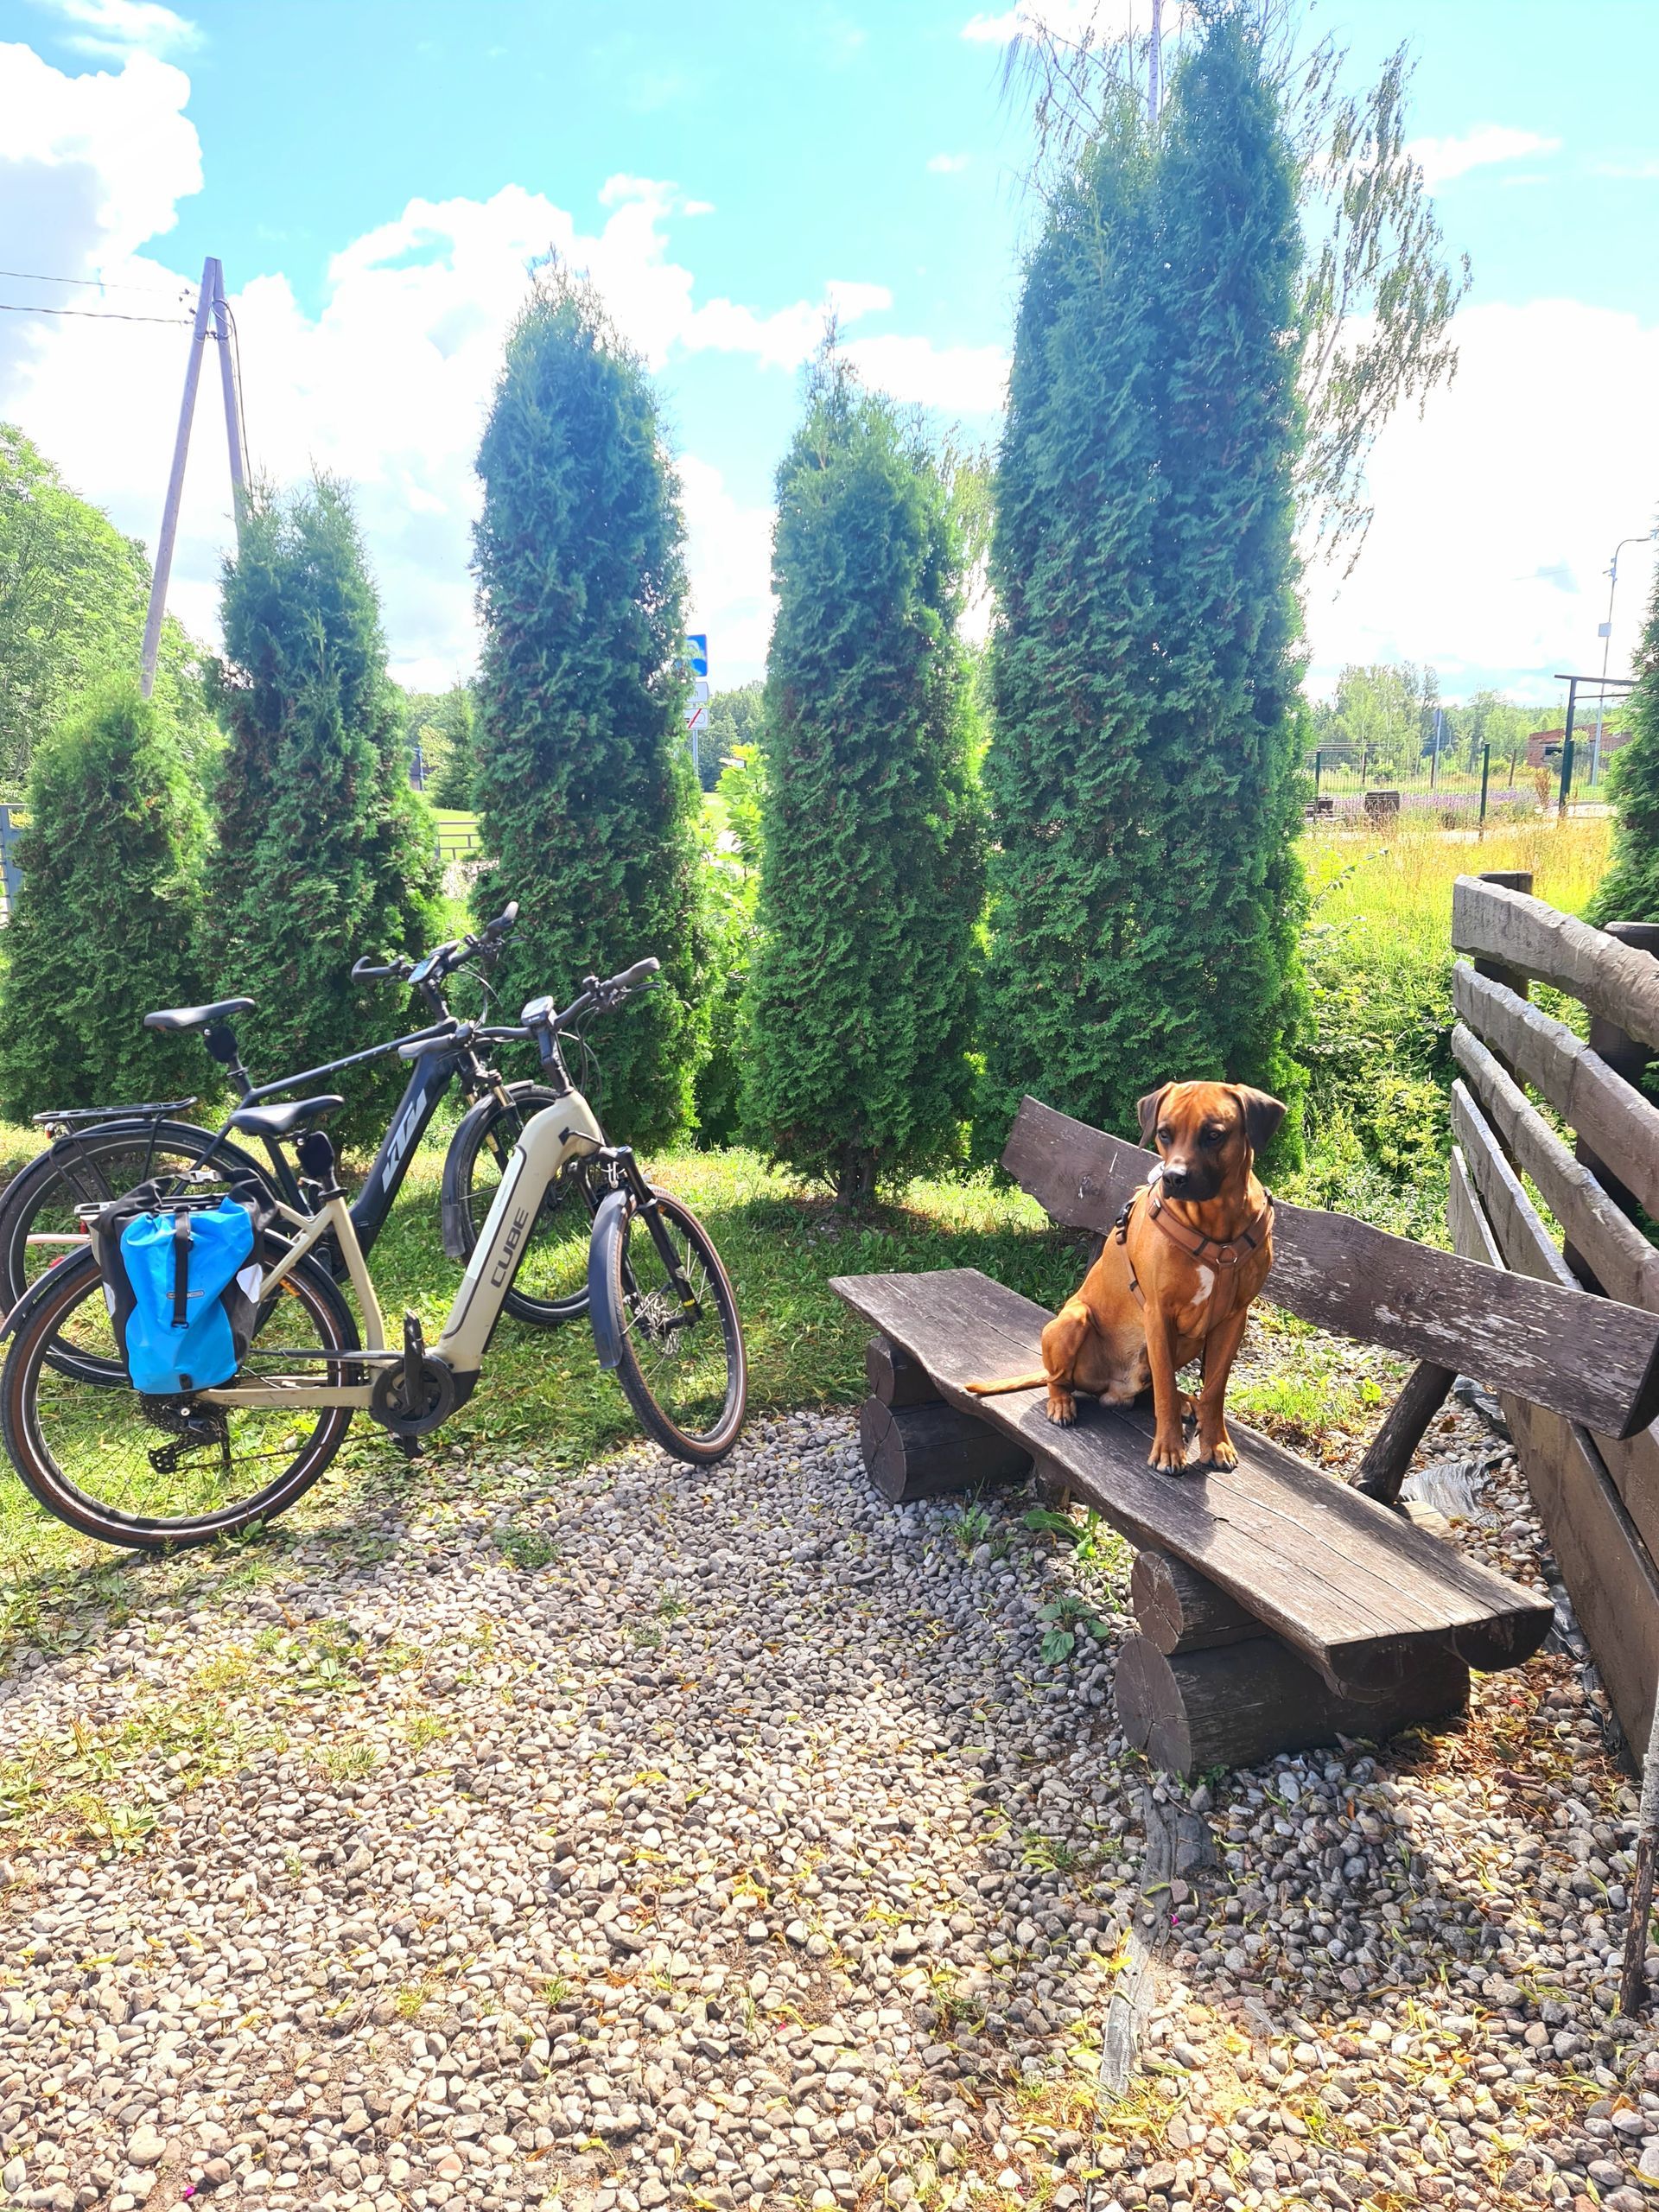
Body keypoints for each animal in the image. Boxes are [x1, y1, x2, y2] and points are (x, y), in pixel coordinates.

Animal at [967, 1082, 1284, 1474]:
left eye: (1214, 1135)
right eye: (1164, 1133)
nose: (1173, 1177)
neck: (1215, 1228)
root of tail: (1113, 1389)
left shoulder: (1233, 1319)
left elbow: (1214, 1390)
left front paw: (1217, 1443)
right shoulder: (1159, 1314)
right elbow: (1164, 1389)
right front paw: (1169, 1449)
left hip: (1189, 1341)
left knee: (1154, 1390)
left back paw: (1185, 1401)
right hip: (1073, 1321)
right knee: (1059, 1379)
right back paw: (1061, 1403)